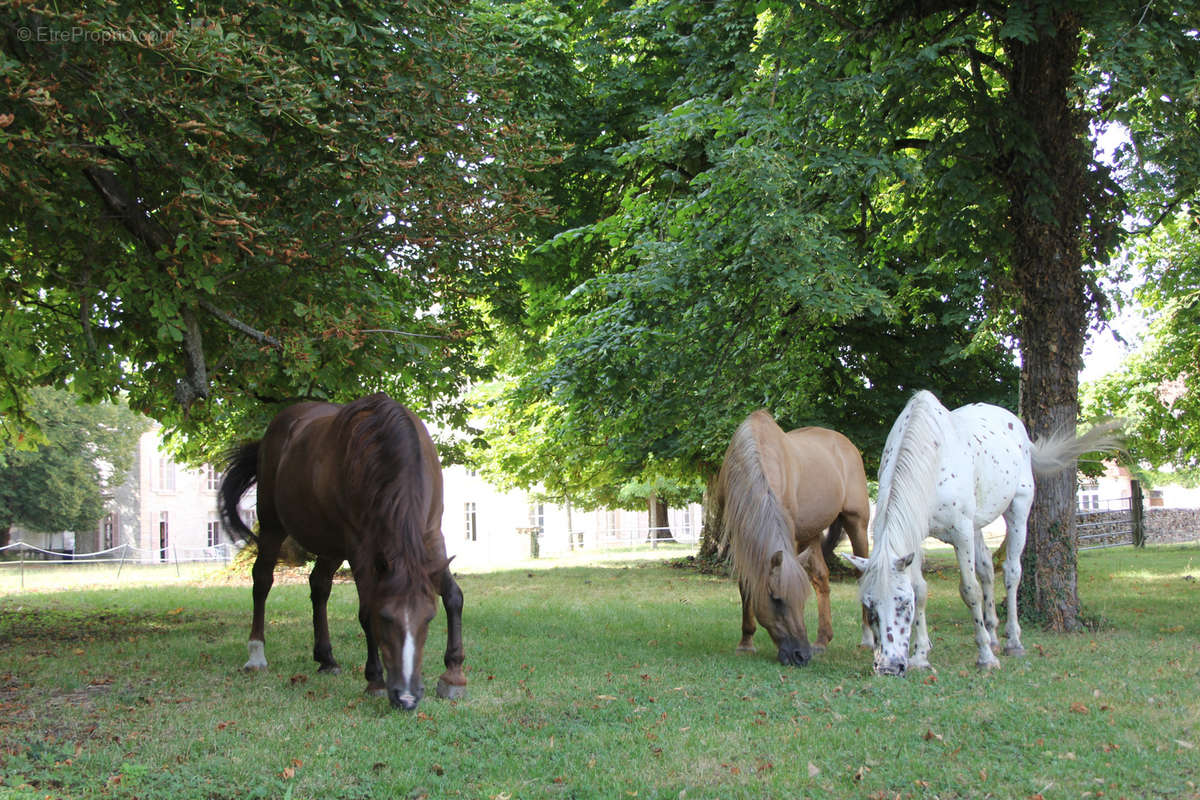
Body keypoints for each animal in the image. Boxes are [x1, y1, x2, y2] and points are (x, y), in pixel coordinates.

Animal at [220, 393, 468, 714]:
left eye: (428, 618)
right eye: (385, 618)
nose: (407, 698)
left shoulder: (431, 535)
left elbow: (453, 597)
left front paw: (454, 674)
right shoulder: (360, 548)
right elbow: (364, 611)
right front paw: (374, 680)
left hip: (331, 544)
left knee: (319, 585)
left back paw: (326, 658)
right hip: (273, 525)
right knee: (262, 580)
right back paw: (256, 654)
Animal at [710, 410, 873, 666]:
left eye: (802, 600)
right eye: (776, 599)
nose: (801, 655)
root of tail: (846, 444)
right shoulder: (740, 537)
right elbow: (746, 584)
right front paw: (746, 642)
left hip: (856, 523)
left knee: (861, 573)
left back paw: (867, 639)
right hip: (812, 533)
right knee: (821, 579)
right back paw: (822, 640)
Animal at [844, 393, 1123, 676]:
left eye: (902, 604)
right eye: (869, 606)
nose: (888, 667)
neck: (931, 457)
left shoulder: (961, 532)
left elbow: (970, 591)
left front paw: (986, 657)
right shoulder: (917, 535)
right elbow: (921, 589)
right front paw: (921, 656)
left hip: (1017, 509)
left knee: (1011, 572)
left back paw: (1013, 642)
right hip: (977, 525)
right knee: (987, 568)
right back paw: (994, 636)